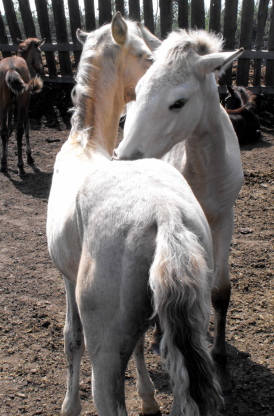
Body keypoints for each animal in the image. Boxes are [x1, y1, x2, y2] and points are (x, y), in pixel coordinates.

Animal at [0, 37, 44, 176]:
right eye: (39, 51)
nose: (41, 68)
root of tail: (11, 69)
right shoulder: (25, 104)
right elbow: (26, 126)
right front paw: (29, 157)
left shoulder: (10, 107)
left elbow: (8, 129)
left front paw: (4, 157)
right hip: (22, 102)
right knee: (19, 130)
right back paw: (21, 167)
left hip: (3, 105)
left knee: (3, 130)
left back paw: (4, 165)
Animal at [47, 14, 222, 416]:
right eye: (147, 55)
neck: (84, 145)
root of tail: (164, 213)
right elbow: (141, 344)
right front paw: (148, 396)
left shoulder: (66, 277)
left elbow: (71, 339)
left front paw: (69, 405)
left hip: (106, 352)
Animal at [115, 29, 244, 400]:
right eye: (140, 91)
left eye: (178, 102)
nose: (123, 158)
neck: (205, 169)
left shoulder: (224, 220)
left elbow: (220, 292)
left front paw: (221, 365)